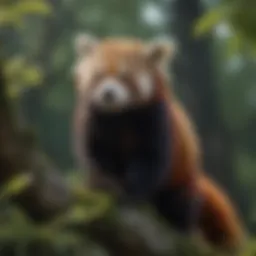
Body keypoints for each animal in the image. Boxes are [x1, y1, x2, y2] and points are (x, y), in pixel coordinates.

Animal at [71, 33, 246, 253]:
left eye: (125, 77)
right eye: (98, 76)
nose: (108, 93)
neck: (119, 115)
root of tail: (197, 176)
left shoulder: (156, 119)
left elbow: (151, 160)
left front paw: (131, 192)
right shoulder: (94, 120)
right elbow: (96, 156)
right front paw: (104, 184)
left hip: (182, 179)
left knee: (179, 204)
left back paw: (178, 228)